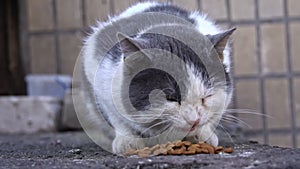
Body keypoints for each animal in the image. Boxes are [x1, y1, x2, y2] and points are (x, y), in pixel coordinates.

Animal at [81, 1, 236, 154]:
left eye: (207, 96)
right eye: (171, 98)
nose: (194, 121)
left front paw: (202, 134)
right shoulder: (100, 81)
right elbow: (117, 119)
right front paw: (127, 141)